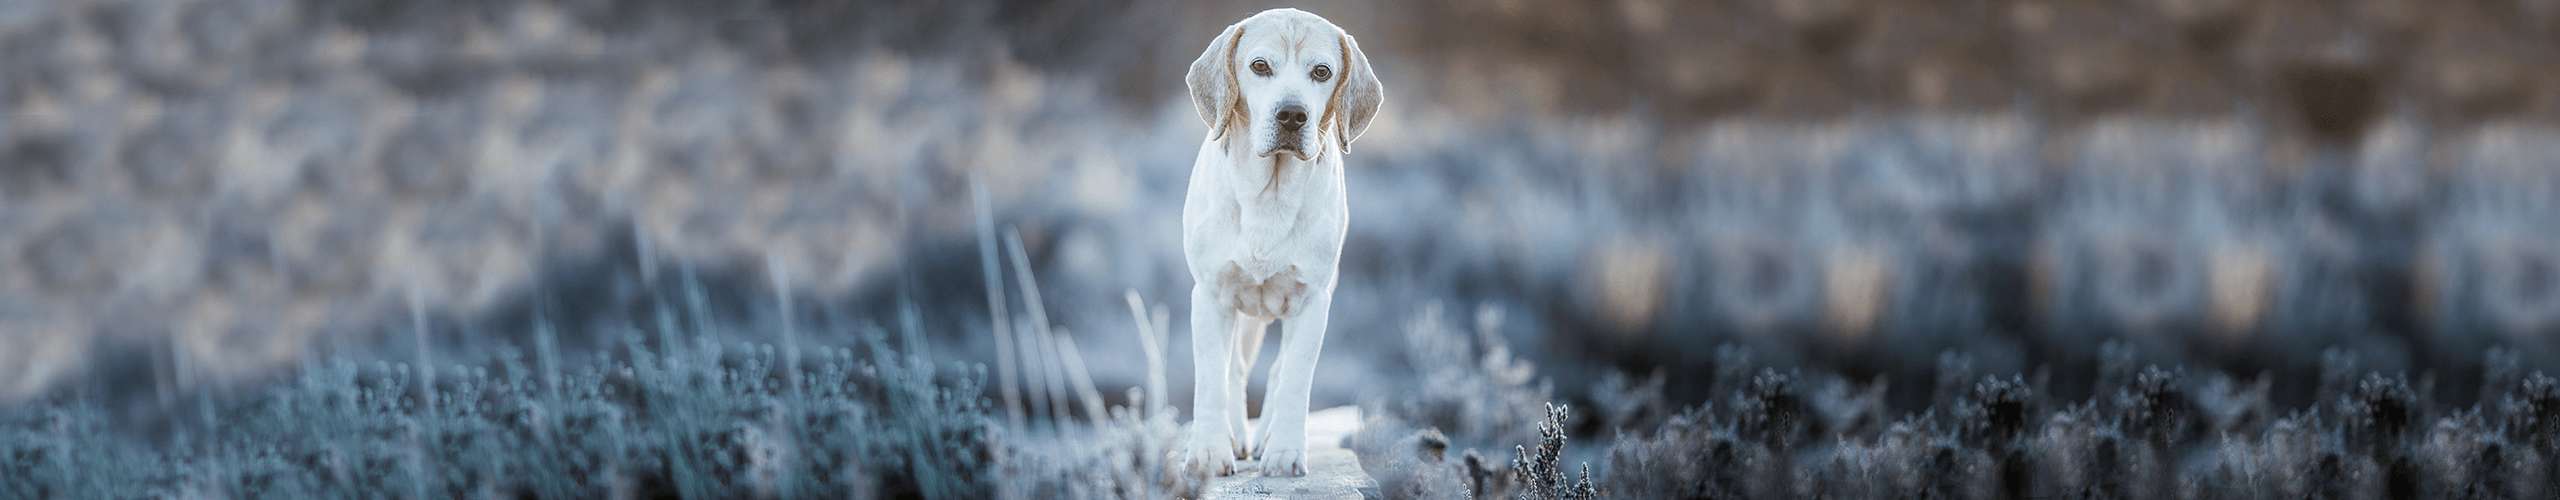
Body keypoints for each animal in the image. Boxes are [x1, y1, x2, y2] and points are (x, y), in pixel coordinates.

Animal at [1177, 7, 1382, 476]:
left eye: (1322, 72)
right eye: (1259, 66)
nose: (1292, 114)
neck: (1267, 197)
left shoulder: (1312, 302)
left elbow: (1293, 380)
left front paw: (1286, 452)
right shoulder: (1209, 296)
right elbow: (1212, 378)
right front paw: (1209, 451)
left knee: (1276, 371)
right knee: (1234, 369)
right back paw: (1235, 436)